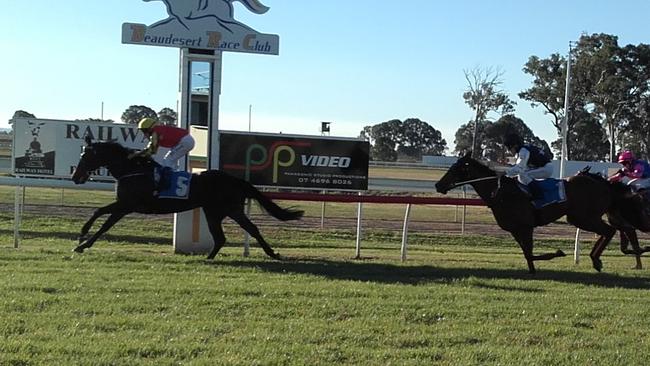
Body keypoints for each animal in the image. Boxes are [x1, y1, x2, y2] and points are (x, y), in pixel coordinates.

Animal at [71, 137, 304, 260]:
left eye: (86, 156)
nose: (75, 177)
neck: (133, 170)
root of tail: (236, 179)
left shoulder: (127, 205)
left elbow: (103, 221)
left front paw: (82, 240)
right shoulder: (124, 205)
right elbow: (100, 213)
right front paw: (82, 238)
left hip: (222, 210)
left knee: (233, 234)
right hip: (223, 211)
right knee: (237, 233)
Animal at [432, 153, 616, 274]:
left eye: (455, 169)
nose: (437, 185)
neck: (501, 193)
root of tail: (603, 182)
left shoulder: (526, 227)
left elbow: (530, 254)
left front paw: (557, 253)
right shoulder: (515, 230)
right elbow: (528, 255)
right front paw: (534, 269)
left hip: (583, 217)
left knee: (609, 230)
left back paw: (595, 260)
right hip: (580, 218)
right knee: (608, 231)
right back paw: (595, 259)